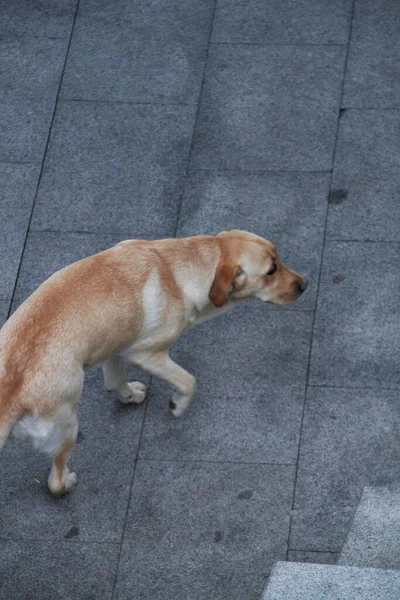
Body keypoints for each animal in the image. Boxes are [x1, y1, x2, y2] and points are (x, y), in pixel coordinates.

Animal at [0, 229, 306, 492]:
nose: (305, 284)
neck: (177, 267)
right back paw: (67, 483)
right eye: (271, 271)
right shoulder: (146, 354)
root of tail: (11, 400)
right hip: (67, 428)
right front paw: (178, 404)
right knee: (55, 481)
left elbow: (115, 379)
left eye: (278, 257)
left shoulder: (117, 344)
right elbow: (189, 380)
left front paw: (129, 395)